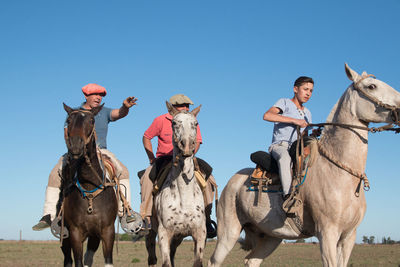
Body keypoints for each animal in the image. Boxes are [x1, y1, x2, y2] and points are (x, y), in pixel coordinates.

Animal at [60, 104, 118, 267]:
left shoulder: (107, 231)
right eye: (68, 120)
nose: (76, 145)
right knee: (68, 259)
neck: (90, 188)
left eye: (92, 121)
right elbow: (78, 261)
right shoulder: (75, 233)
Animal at [150, 102, 206, 267]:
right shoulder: (164, 233)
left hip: (178, 237)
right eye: (174, 123)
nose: (187, 145)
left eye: (195, 124)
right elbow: (166, 263)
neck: (184, 196)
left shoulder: (199, 233)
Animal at [208, 63, 400, 266]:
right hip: (228, 232)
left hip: (271, 236)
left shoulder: (349, 236)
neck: (340, 175)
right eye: (372, 86)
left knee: (252, 260)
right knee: (214, 261)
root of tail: (230, 183)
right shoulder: (327, 232)